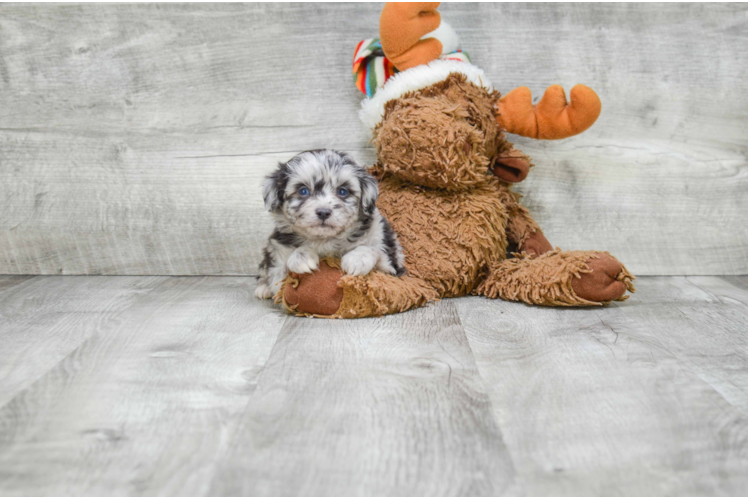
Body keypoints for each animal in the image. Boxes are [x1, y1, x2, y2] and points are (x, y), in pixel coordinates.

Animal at [254, 146, 406, 298]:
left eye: (343, 191)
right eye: (303, 191)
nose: (323, 212)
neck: (325, 240)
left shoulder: (390, 264)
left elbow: (374, 251)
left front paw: (358, 258)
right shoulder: (278, 253)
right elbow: (280, 278)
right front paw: (301, 257)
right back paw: (263, 288)